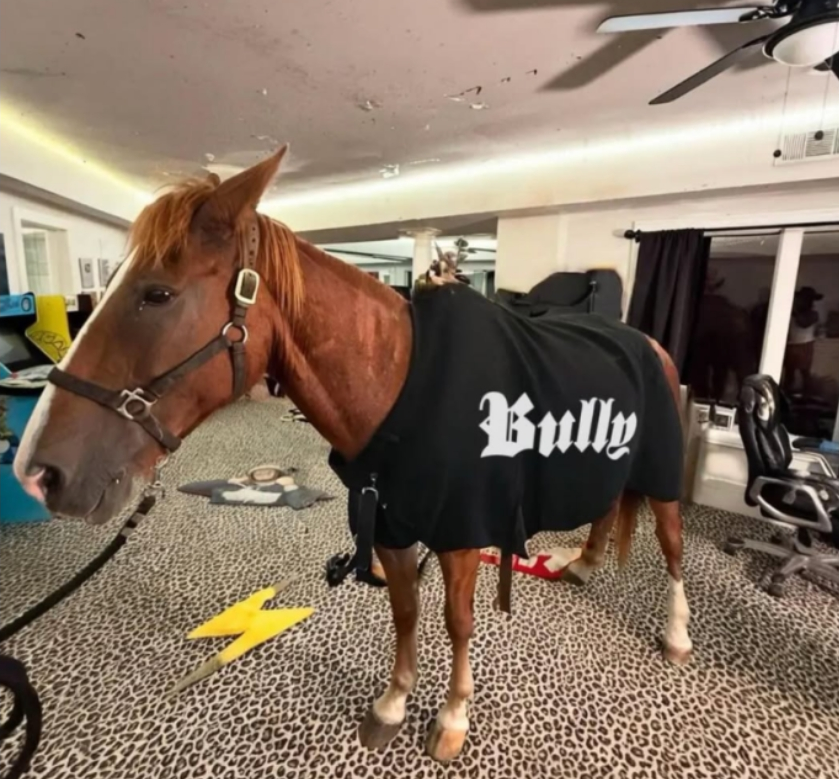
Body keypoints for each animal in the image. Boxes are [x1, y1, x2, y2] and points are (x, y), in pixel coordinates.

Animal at [14, 148, 692, 764]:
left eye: (157, 294)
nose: (36, 472)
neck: (400, 387)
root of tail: (648, 342)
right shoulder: (387, 524)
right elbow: (405, 610)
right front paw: (392, 704)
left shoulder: (460, 534)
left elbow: (458, 621)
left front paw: (452, 718)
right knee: (607, 509)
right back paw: (583, 563)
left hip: (660, 474)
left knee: (671, 544)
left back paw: (678, 631)